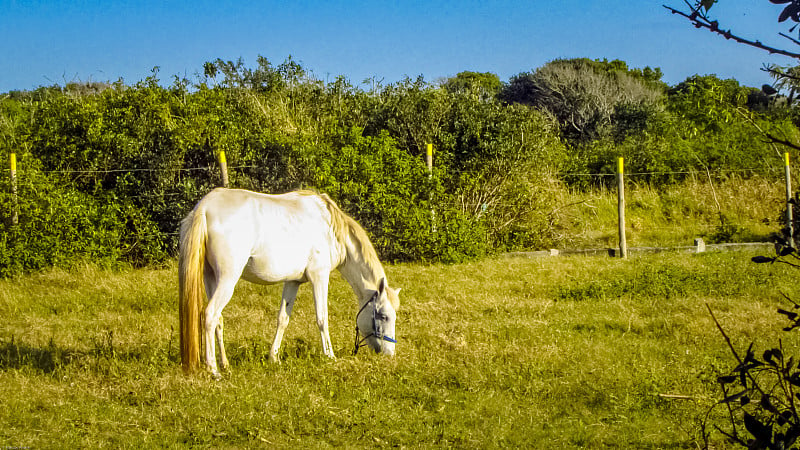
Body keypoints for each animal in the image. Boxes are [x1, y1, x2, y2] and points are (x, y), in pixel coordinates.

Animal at [180, 187, 400, 376]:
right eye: (383, 316)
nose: (390, 353)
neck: (330, 227)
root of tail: (204, 208)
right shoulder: (319, 277)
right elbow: (322, 318)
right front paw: (329, 355)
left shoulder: (292, 282)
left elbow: (283, 319)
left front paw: (274, 357)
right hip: (227, 279)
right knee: (210, 314)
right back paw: (213, 370)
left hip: (211, 278)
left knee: (218, 319)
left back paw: (225, 364)